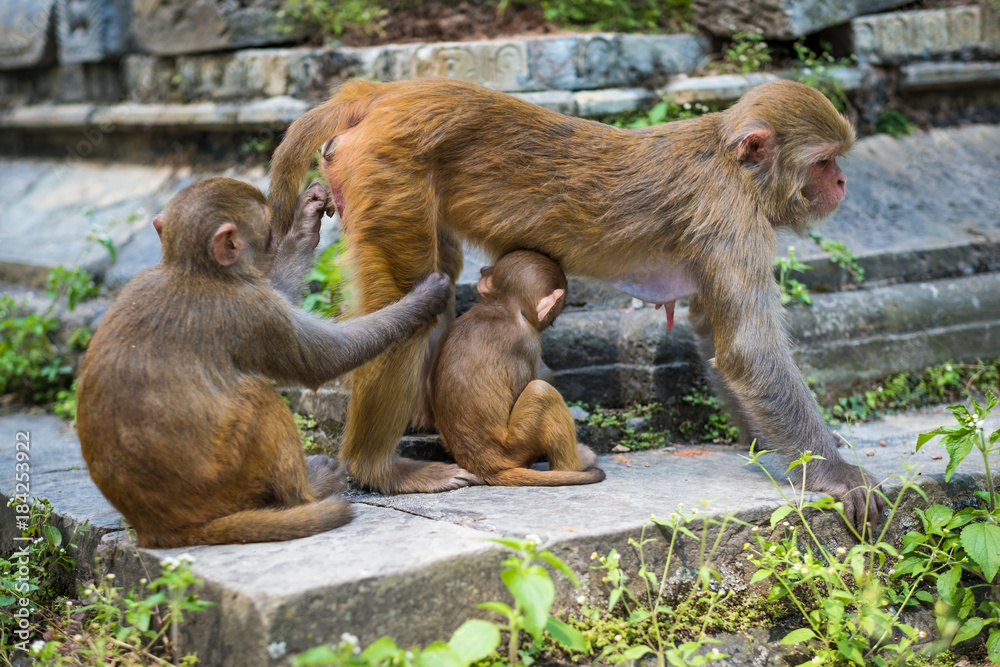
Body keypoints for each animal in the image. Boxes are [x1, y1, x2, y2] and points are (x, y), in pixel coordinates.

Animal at [76, 179, 452, 548]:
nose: (273, 242)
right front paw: (422, 300)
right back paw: (308, 490)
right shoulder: (254, 312)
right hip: (227, 484)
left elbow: (280, 289)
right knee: (256, 394)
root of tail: (157, 529)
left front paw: (306, 221)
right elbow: (322, 360)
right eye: (266, 233)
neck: (191, 269)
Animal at [428, 250, 600, 486]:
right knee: (541, 391)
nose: (550, 322)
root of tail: (485, 467)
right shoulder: (528, 341)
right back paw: (574, 467)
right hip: (517, 446)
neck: (502, 305)